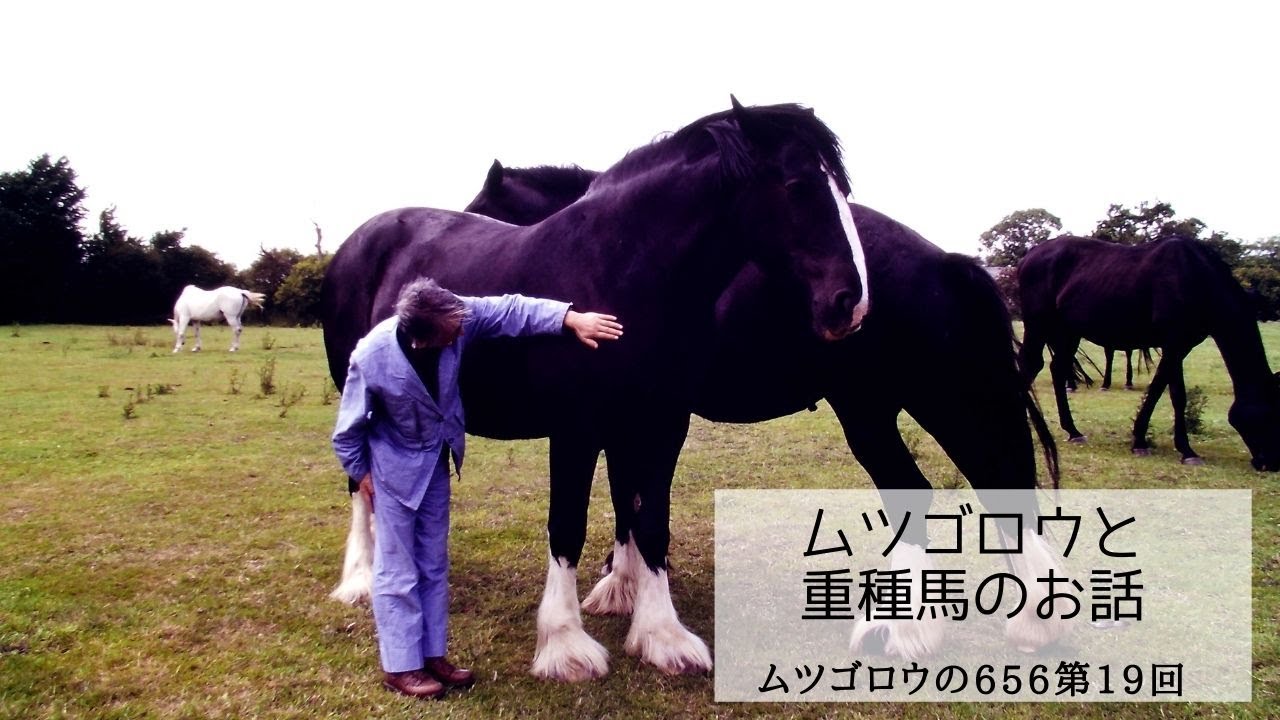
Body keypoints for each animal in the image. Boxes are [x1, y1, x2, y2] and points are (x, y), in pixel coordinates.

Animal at [321, 100, 869, 681]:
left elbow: (649, 521)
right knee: (361, 486)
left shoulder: (659, 425)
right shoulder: (576, 430)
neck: (618, 275)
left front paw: (661, 635)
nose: (850, 302)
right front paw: (565, 644)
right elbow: (568, 526)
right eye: (797, 185)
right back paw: (360, 579)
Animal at [438, 160, 1068, 659]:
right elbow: (627, 497)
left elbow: (628, 498)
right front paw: (625, 585)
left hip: (910, 407)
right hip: (902, 408)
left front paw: (624, 590)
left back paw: (912, 631)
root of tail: (943, 262)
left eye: (482, 214)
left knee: (948, 491)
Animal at [1018, 235, 1280, 469]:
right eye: (1270, 414)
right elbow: (1173, 394)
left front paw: (1147, 441)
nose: (1270, 463)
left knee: (1057, 368)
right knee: (1031, 364)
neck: (1195, 277)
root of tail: (1029, 256)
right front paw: (1182, 450)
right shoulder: (1174, 343)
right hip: (1039, 325)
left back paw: (1073, 431)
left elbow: (1162, 391)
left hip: (1068, 332)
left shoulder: (1180, 346)